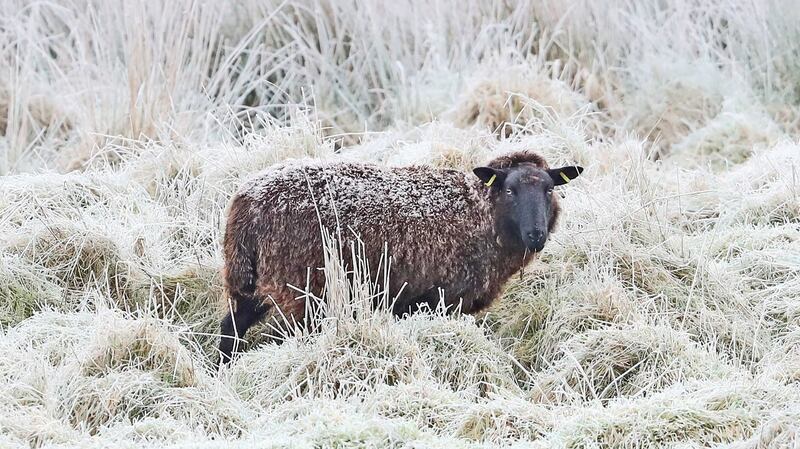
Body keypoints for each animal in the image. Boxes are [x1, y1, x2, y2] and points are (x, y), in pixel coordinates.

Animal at [218, 151, 583, 363]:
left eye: (549, 189)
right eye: (510, 190)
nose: (536, 235)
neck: (482, 213)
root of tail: (245, 200)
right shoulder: (442, 298)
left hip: (252, 280)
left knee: (231, 328)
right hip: (299, 289)